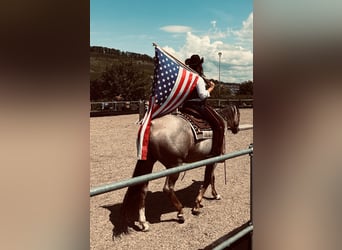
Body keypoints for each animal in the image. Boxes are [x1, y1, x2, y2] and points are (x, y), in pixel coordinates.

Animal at [117, 104, 240, 234]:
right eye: (239, 114)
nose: (236, 129)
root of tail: (152, 125)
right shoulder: (213, 160)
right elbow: (208, 179)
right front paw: (197, 205)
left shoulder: (209, 161)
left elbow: (211, 178)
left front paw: (215, 195)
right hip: (174, 166)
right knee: (168, 188)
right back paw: (180, 213)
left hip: (149, 162)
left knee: (143, 189)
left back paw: (143, 223)